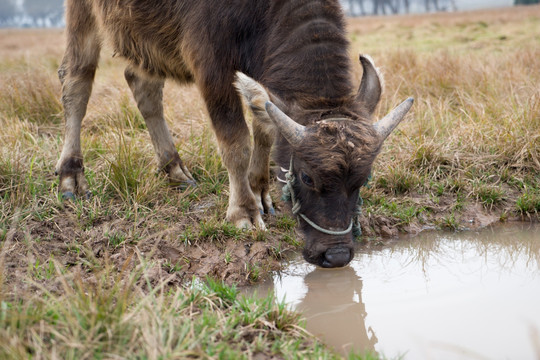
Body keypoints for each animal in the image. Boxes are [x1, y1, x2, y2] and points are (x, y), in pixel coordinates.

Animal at [56, 0, 414, 268]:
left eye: (363, 179)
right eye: (307, 176)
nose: (336, 255)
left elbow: (265, 129)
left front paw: (260, 192)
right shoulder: (212, 68)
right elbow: (236, 143)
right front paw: (244, 212)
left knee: (142, 84)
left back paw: (174, 169)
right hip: (82, 14)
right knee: (77, 79)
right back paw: (71, 175)